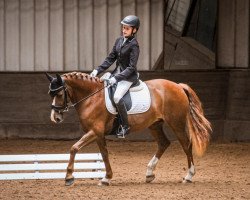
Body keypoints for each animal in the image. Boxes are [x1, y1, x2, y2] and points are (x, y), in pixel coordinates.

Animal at [45, 72, 211, 186]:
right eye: (50, 94)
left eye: (59, 93)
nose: (55, 118)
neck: (91, 98)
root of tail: (178, 86)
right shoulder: (98, 134)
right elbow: (104, 154)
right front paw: (106, 178)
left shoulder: (95, 131)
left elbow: (74, 148)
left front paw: (69, 177)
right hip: (155, 124)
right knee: (164, 143)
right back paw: (149, 174)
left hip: (177, 123)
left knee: (186, 145)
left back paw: (188, 176)